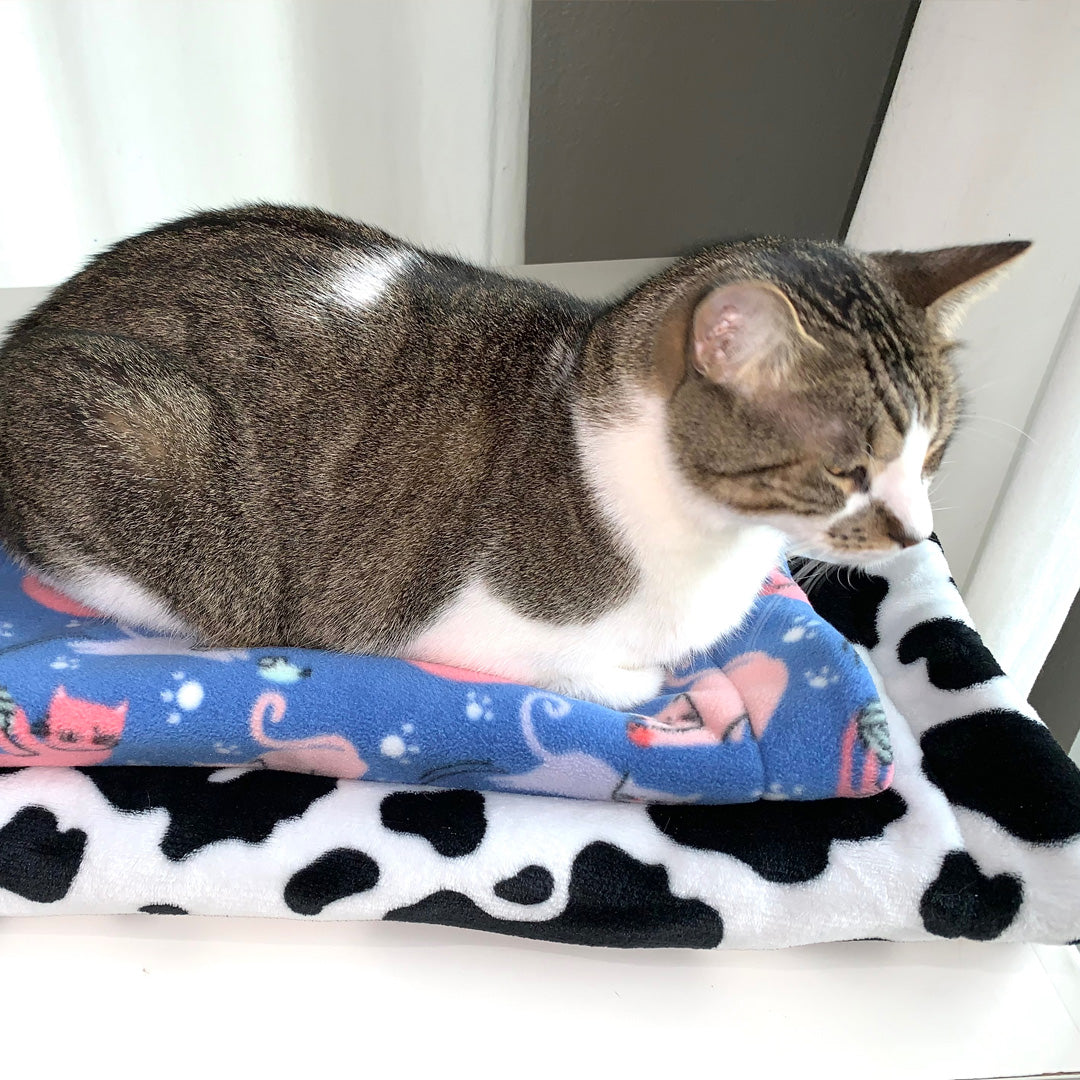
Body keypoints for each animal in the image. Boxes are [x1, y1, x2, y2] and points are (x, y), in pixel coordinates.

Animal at [0, 203, 1028, 708]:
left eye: (933, 455)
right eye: (848, 471)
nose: (918, 534)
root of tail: (33, 326)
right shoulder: (442, 621)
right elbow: (605, 675)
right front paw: (651, 683)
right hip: (151, 440)